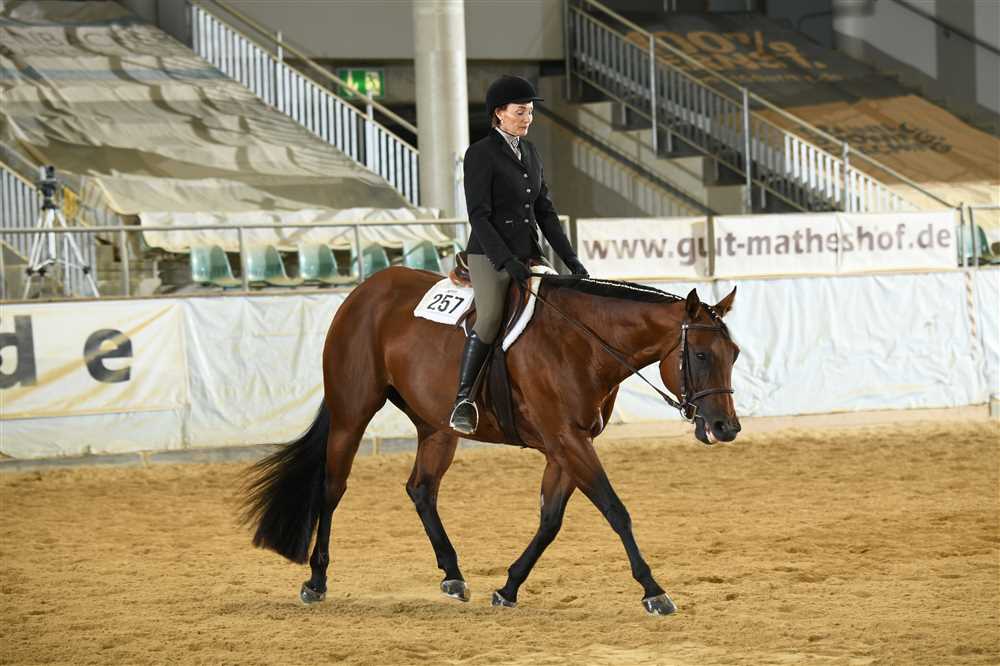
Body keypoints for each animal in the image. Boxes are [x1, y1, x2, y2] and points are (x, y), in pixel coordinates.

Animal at [242, 266, 741, 615]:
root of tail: (365, 291)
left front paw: (508, 587)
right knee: (332, 489)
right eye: (700, 354)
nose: (726, 428)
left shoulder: (566, 445)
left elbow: (550, 520)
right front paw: (654, 591)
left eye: (733, 354)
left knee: (421, 489)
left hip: (437, 427)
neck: (581, 343)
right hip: (352, 414)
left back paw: (453, 574)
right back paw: (316, 580)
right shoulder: (567, 441)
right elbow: (616, 510)